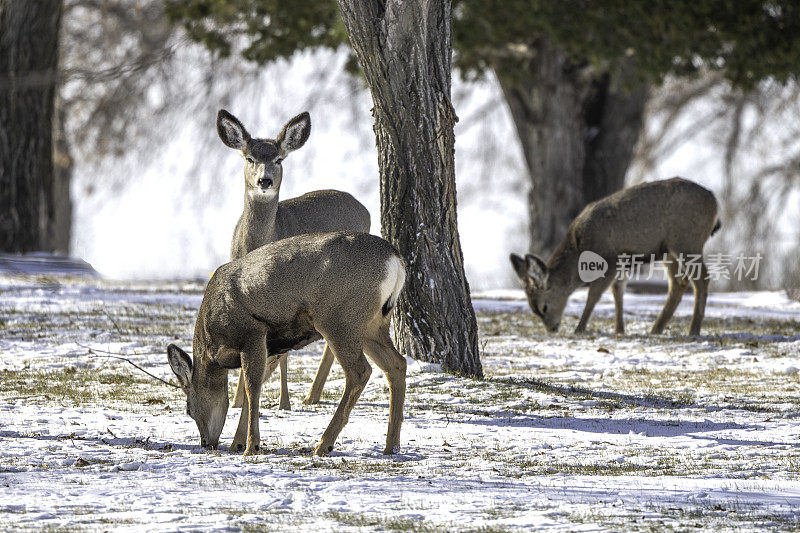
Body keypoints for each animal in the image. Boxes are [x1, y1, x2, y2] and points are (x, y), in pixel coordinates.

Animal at [167, 231, 406, 456]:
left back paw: (323, 444)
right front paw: (237, 443)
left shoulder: (253, 332)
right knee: (396, 364)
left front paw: (250, 446)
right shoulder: (273, 346)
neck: (213, 347)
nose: (206, 443)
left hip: (340, 319)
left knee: (360, 371)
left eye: (188, 410)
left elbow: (251, 388)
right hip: (372, 324)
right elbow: (255, 386)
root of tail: (395, 260)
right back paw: (391, 446)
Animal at [216, 107, 372, 408]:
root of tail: (363, 207)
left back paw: (311, 394)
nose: (264, 180)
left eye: (278, 159)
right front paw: (239, 400)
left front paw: (283, 402)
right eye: (250, 158)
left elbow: (283, 350)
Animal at [512, 179, 724, 336]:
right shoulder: (623, 263)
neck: (579, 246)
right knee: (678, 283)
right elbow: (618, 292)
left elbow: (594, 294)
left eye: (544, 307)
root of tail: (715, 203)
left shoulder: (610, 259)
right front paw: (619, 329)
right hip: (669, 251)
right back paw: (656, 329)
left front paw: (579, 328)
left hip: (687, 241)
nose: (552, 328)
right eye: (532, 308)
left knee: (701, 279)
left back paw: (693, 330)